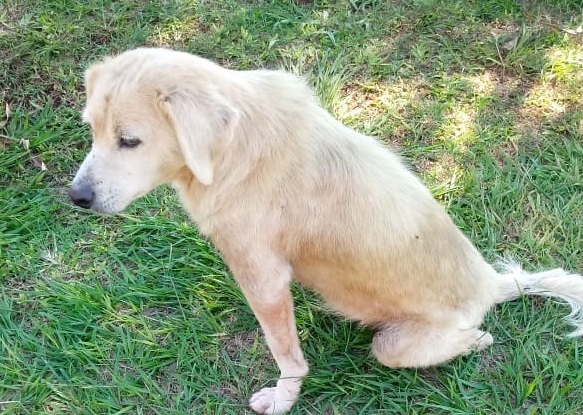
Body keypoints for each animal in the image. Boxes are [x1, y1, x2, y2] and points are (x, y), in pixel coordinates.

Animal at [69, 47, 583, 414]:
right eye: (91, 129)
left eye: (130, 141)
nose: (76, 197)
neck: (233, 151)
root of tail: (491, 284)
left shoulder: (263, 280)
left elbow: (287, 357)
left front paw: (282, 400)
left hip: (395, 345)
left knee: (478, 339)